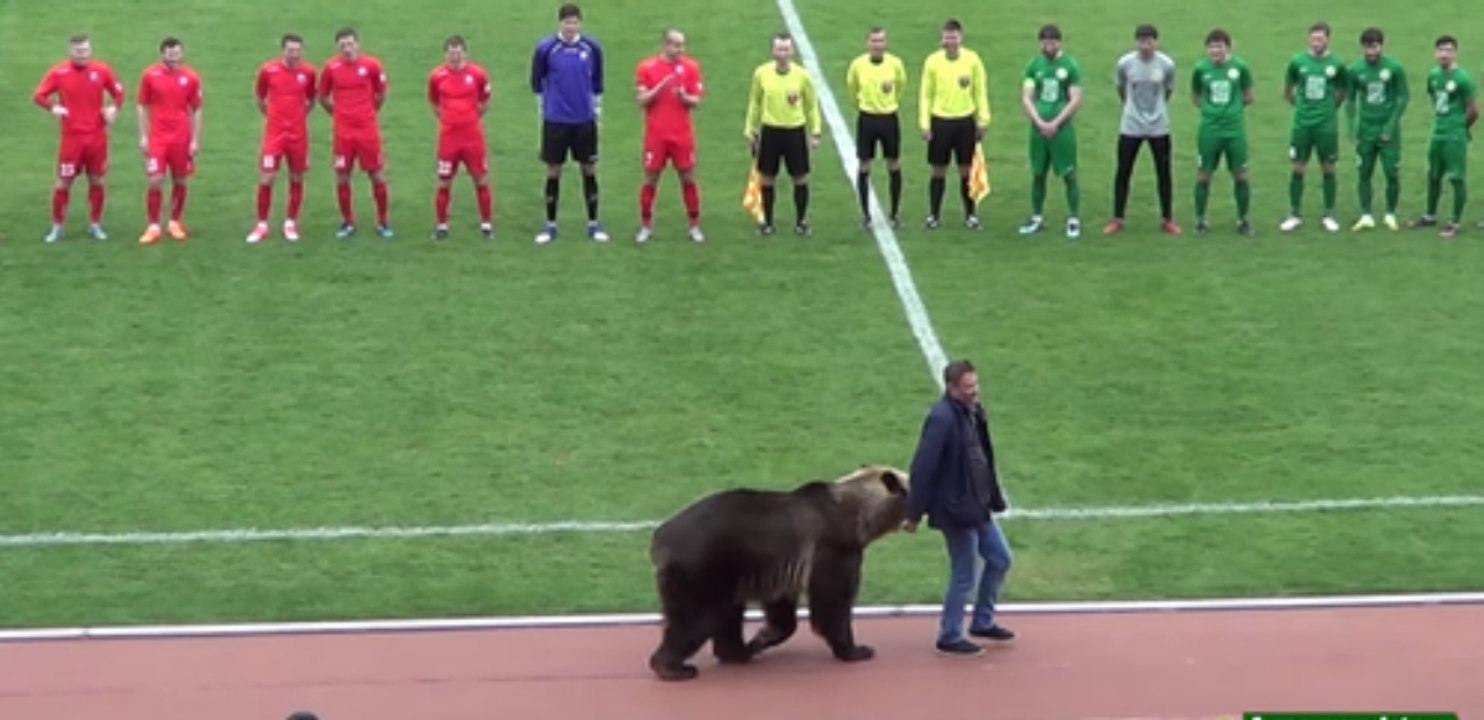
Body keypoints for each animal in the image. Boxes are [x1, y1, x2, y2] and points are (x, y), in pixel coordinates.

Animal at [646, 463, 911, 681]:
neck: (857, 515)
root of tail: (659, 539)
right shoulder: (833, 547)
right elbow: (833, 602)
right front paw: (857, 649)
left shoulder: (782, 566)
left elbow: (782, 609)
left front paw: (763, 636)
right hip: (703, 567)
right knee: (698, 616)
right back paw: (674, 667)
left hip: (728, 573)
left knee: (727, 613)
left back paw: (740, 650)